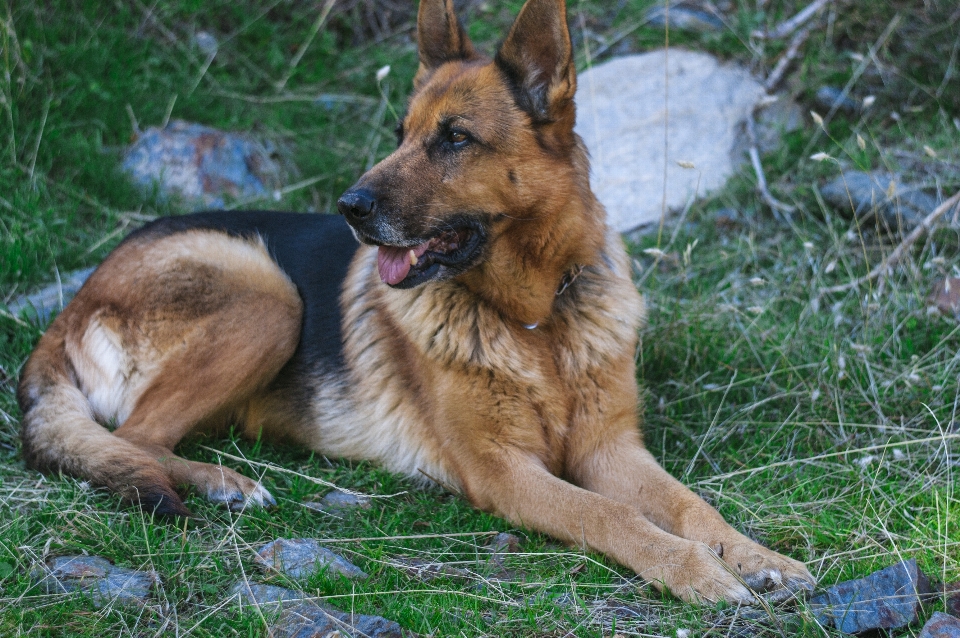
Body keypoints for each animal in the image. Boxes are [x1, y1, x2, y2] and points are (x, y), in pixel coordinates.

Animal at [16, 0, 808, 604]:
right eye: (402, 136)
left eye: (454, 138)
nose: (350, 209)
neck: (536, 321)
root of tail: (70, 307)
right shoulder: (507, 474)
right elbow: (613, 516)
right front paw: (693, 572)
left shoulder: (612, 448)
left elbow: (687, 503)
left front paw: (754, 556)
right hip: (269, 295)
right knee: (134, 439)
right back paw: (224, 484)